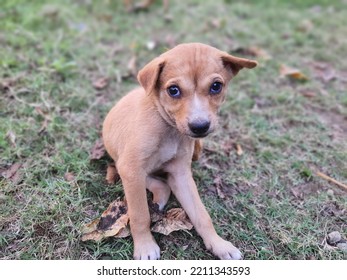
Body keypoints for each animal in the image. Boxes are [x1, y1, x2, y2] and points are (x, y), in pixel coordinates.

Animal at [102, 42, 256, 260]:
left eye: (216, 86)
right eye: (173, 90)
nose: (199, 127)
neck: (168, 127)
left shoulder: (180, 174)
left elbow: (201, 215)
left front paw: (218, 244)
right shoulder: (130, 169)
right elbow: (139, 214)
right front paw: (145, 246)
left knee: (163, 184)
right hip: (124, 167)